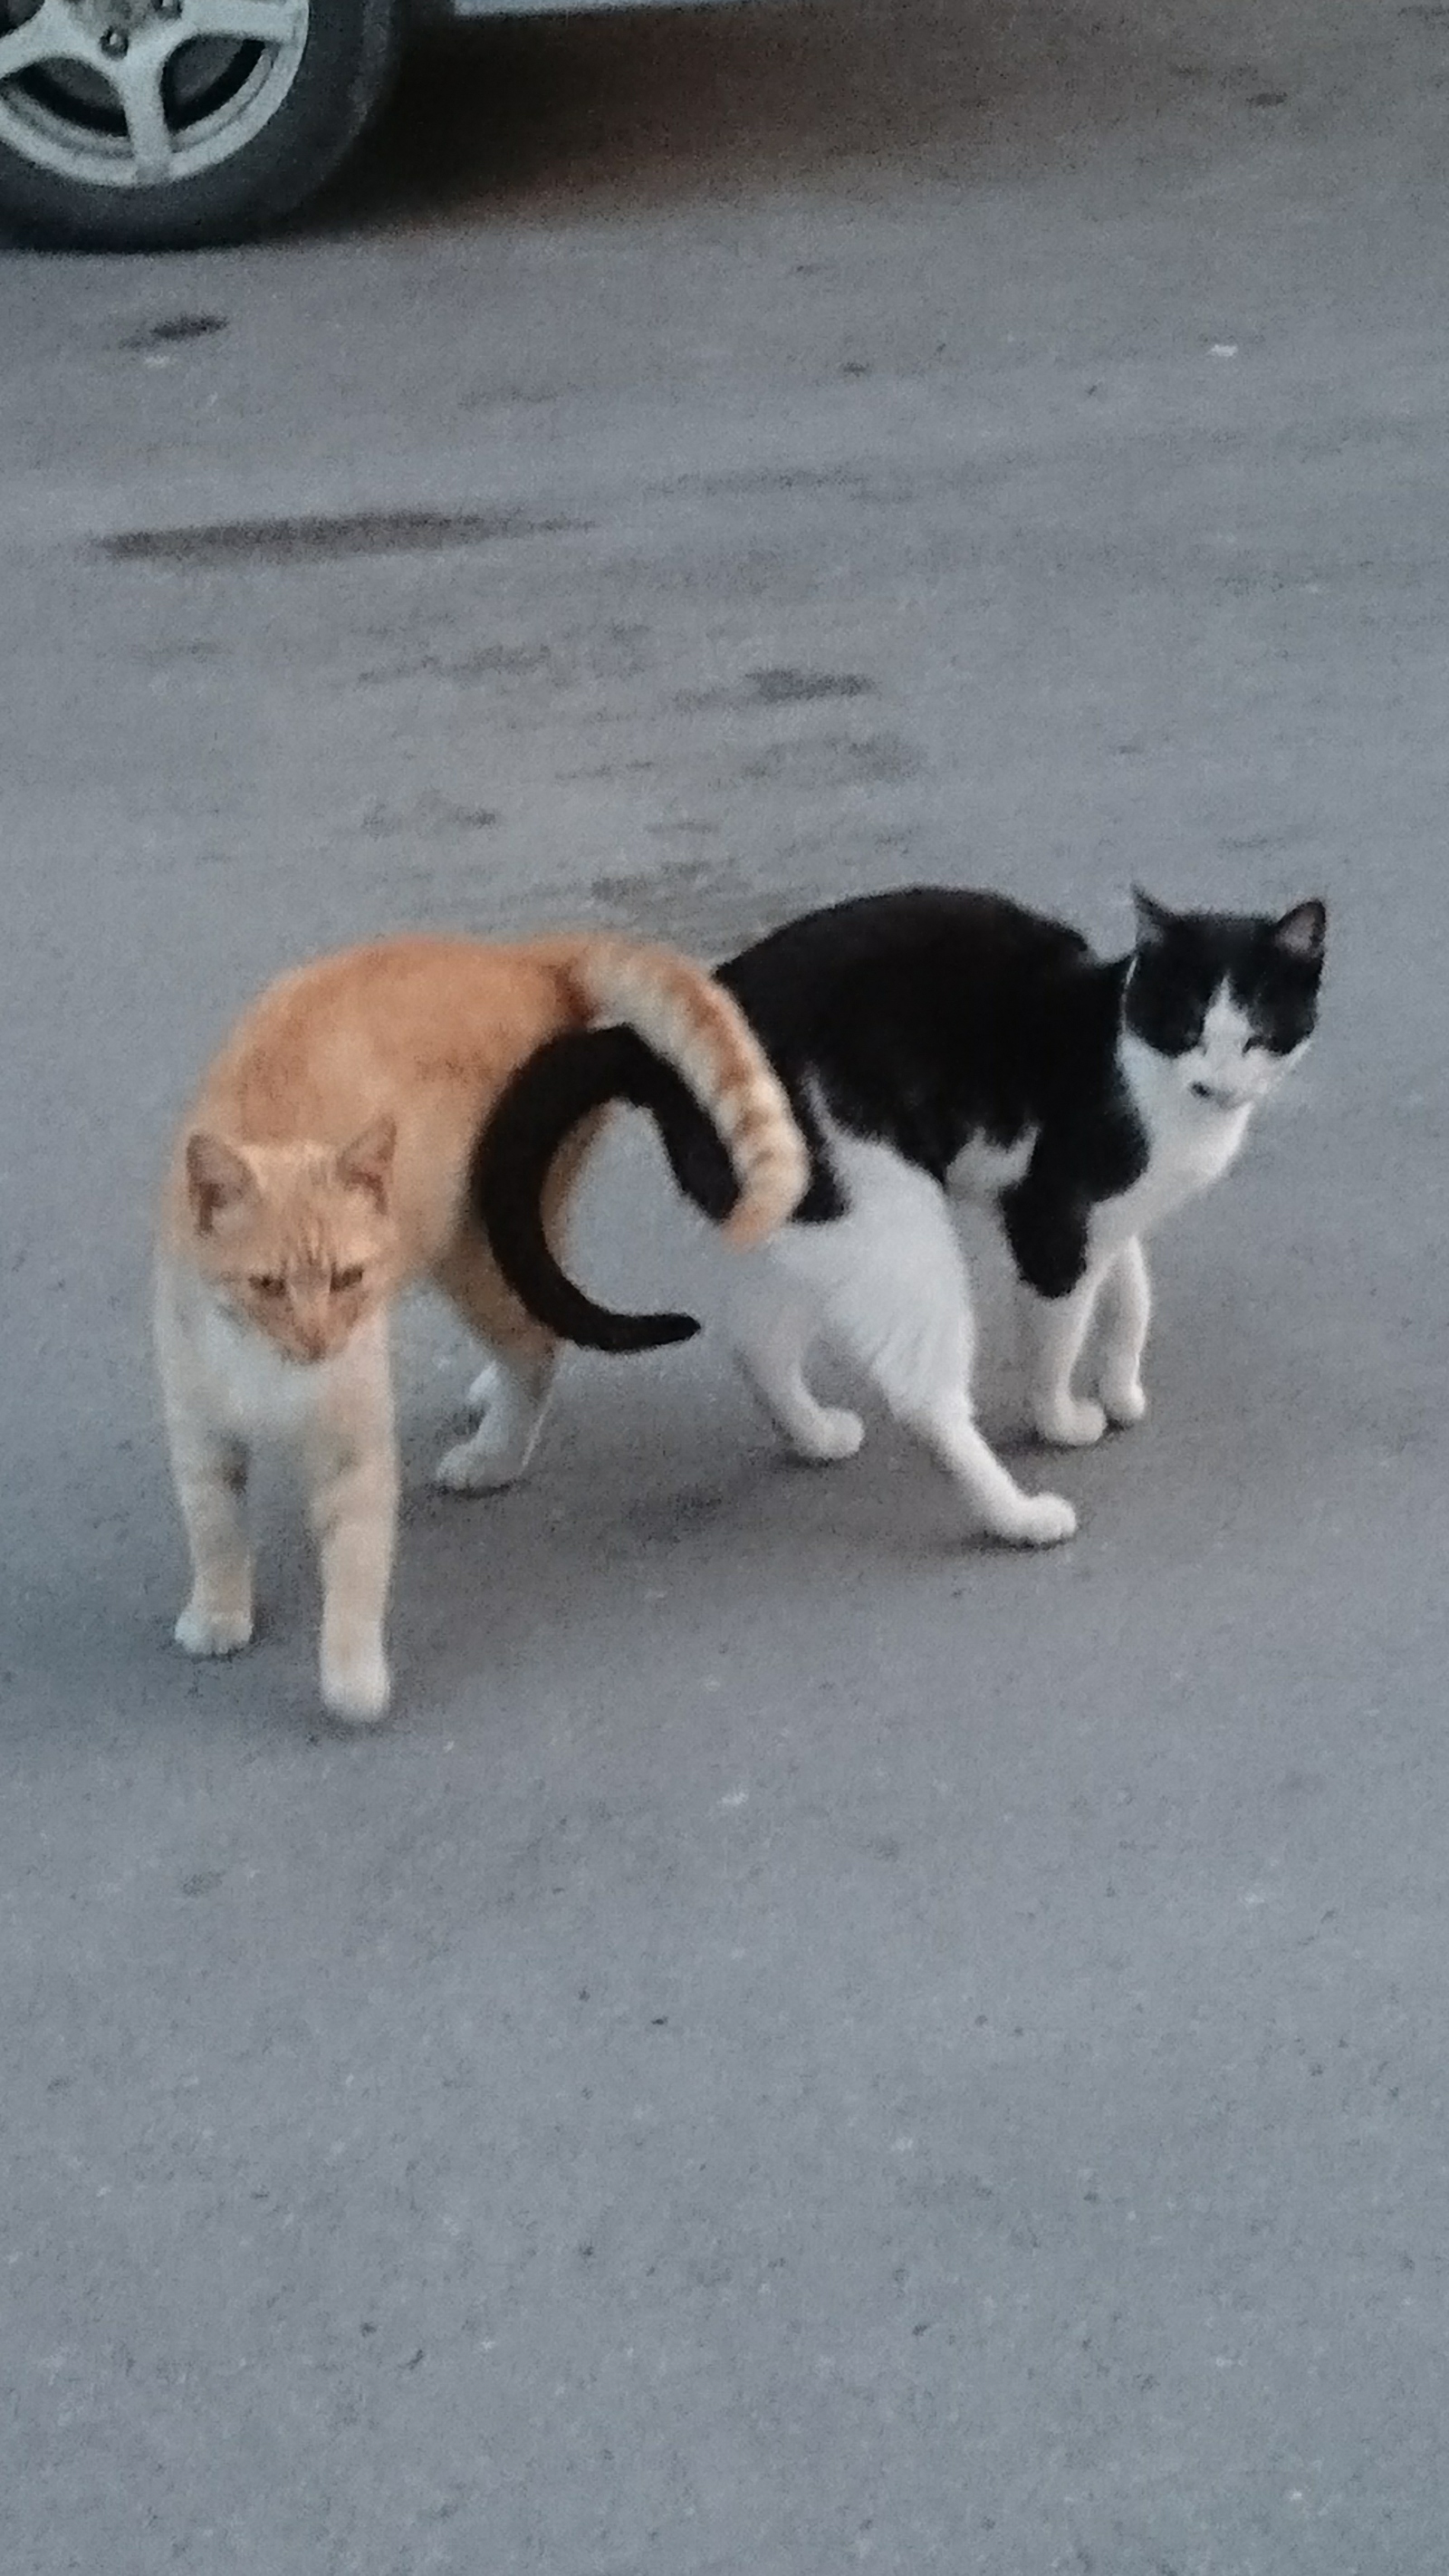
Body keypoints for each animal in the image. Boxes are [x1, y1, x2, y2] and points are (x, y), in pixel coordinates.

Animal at [154, 932, 807, 1723]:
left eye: (349, 1278)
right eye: (268, 1286)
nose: (319, 1340)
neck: (270, 1368)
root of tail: (514, 953)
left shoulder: (352, 1453)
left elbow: (355, 1572)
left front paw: (352, 1682)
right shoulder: (198, 1430)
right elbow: (213, 1527)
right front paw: (219, 1612)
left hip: (475, 1255)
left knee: (538, 1346)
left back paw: (496, 1451)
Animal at [473, 887, 1327, 1547]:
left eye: (1256, 1032)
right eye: (1186, 1024)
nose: (1217, 1086)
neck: (1135, 1061)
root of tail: (660, 1048)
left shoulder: (1110, 1218)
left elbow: (1131, 1296)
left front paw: (1120, 1389)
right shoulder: (1050, 1218)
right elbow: (1058, 1336)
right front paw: (1063, 1420)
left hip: (815, 1226)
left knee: (755, 1340)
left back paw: (816, 1437)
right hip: (892, 1225)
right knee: (923, 1398)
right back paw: (1019, 1518)